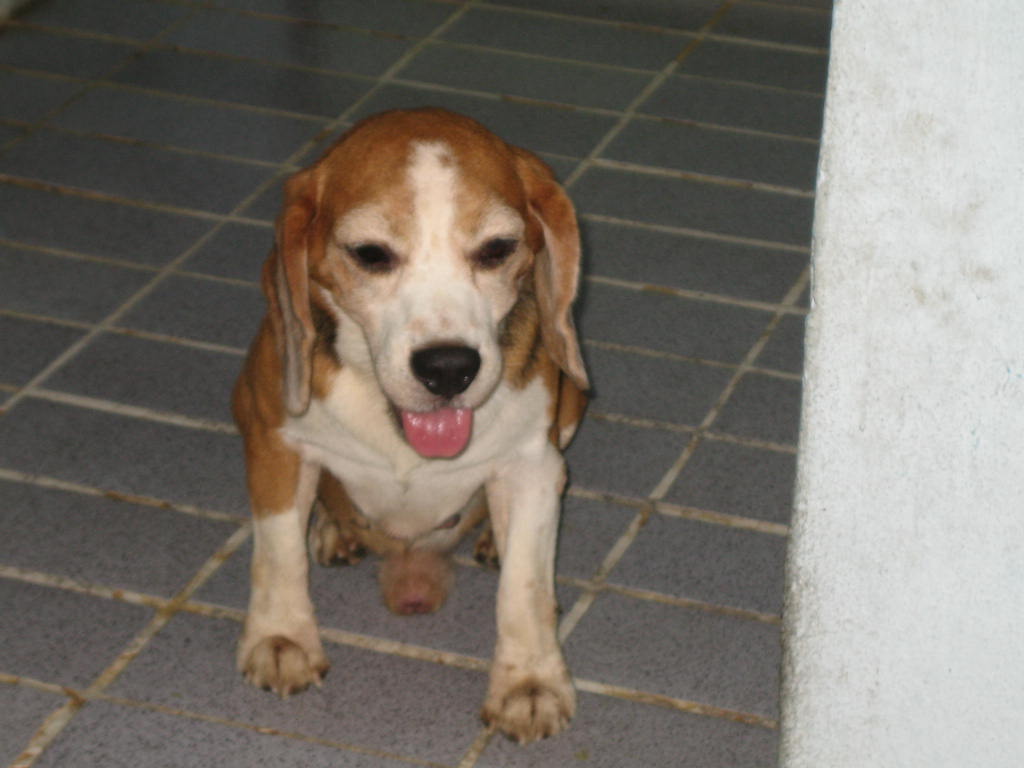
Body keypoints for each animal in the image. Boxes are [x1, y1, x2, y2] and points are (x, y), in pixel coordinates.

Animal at [232, 108, 589, 743]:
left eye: (497, 249)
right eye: (371, 254)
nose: (448, 368)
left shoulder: (533, 464)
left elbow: (524, 588)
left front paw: (529, 681)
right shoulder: (274, 441)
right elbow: (277, 551)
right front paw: (280, 636)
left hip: (572, 408)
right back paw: (333, 529)